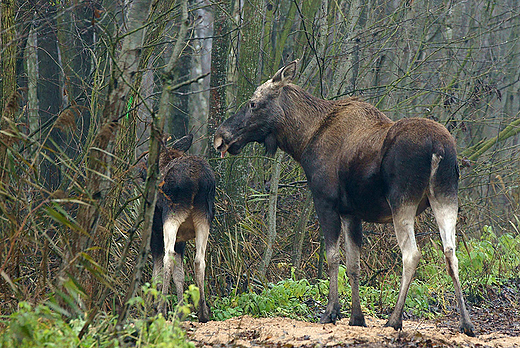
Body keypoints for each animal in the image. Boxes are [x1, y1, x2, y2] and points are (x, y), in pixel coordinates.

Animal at [148, 134, 215, 324]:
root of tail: (198, 181)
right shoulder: (182, 240)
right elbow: (180, 274)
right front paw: (181, 310)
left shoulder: (155, 234)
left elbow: (156, 274)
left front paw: (156, 308)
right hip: (203, 218)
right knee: (200, 260)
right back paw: (203, 312)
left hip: (171, 215)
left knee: (168, 256)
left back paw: (162, 310)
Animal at [212, 61, 476, 336]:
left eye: (253, 103)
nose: (220, 137)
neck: (302, 140)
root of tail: (439, 148)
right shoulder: (352, 212)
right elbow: (353, 265)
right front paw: (356, 317)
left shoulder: (325, 202)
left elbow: (332, 258)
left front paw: (331, 312)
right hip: (445, 195)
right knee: (451, 252)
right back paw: (466, 323)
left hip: (402, 200)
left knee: (412, 254)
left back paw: (394, 319)